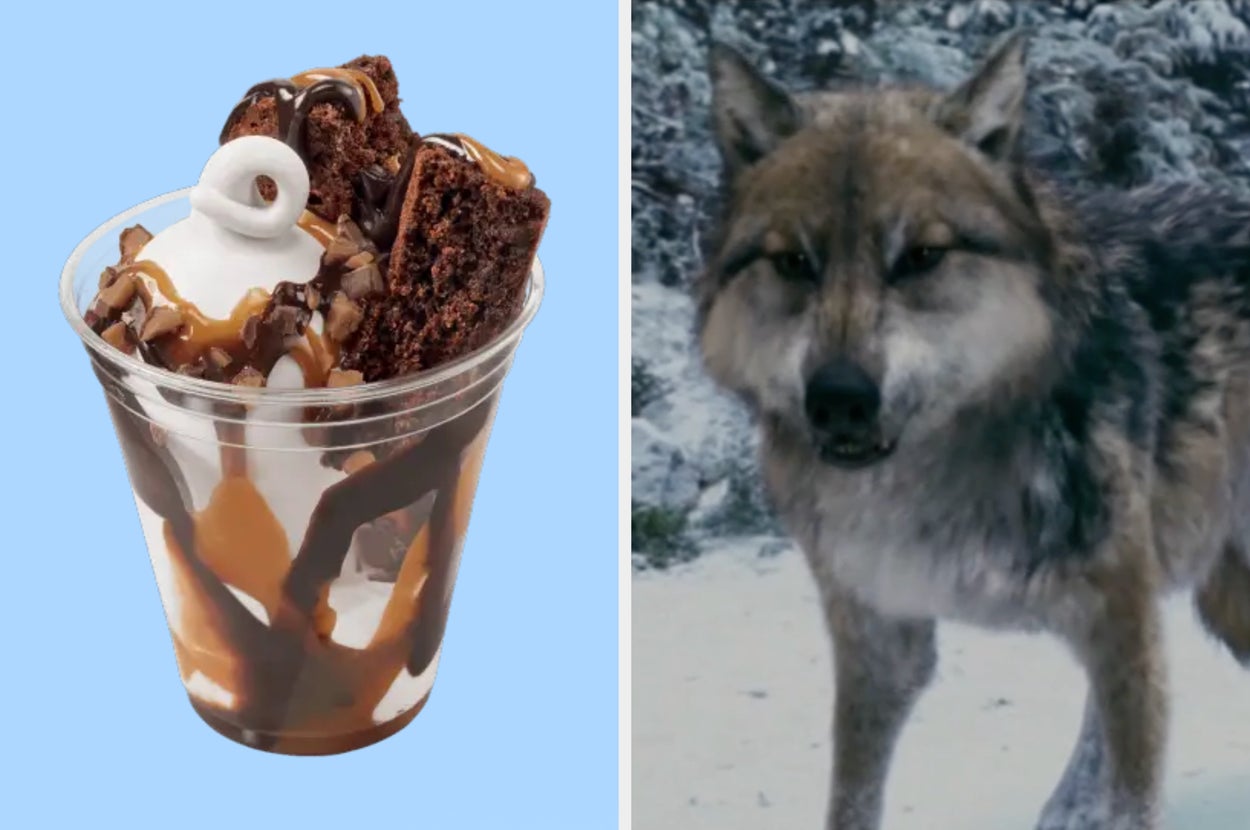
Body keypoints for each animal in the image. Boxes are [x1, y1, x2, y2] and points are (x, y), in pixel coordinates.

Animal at [698, 32, 1250, 830]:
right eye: (794, 261)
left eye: (921, 257)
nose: (839, 399)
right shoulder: (879, 640)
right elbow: (851, 798)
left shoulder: (1121, 627)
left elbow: (1135, 792)